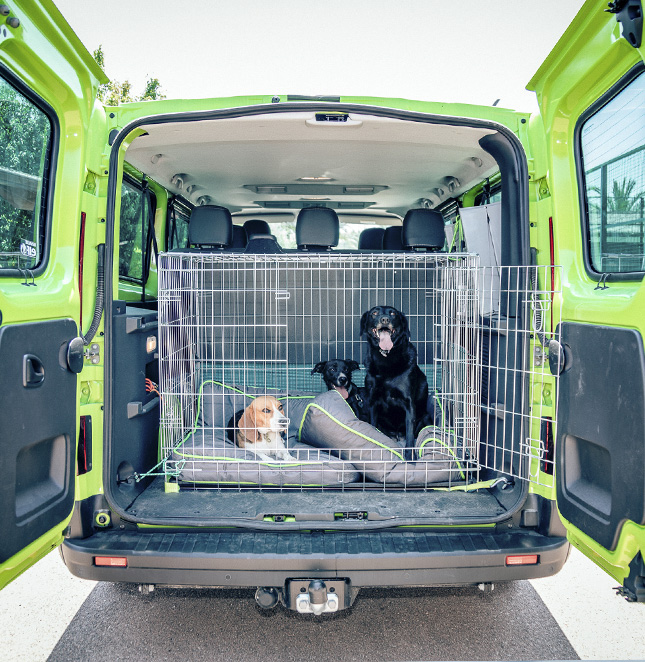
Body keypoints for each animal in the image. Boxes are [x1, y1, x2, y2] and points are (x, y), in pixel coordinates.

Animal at [360, 308, 430, 460]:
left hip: (425, 417)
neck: (386, 359)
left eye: (393, 313)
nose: (385, 319)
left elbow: (410, 434)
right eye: (374, 313)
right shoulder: (372, 403)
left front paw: (410, 457)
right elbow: (373, 426)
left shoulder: (409, 404)